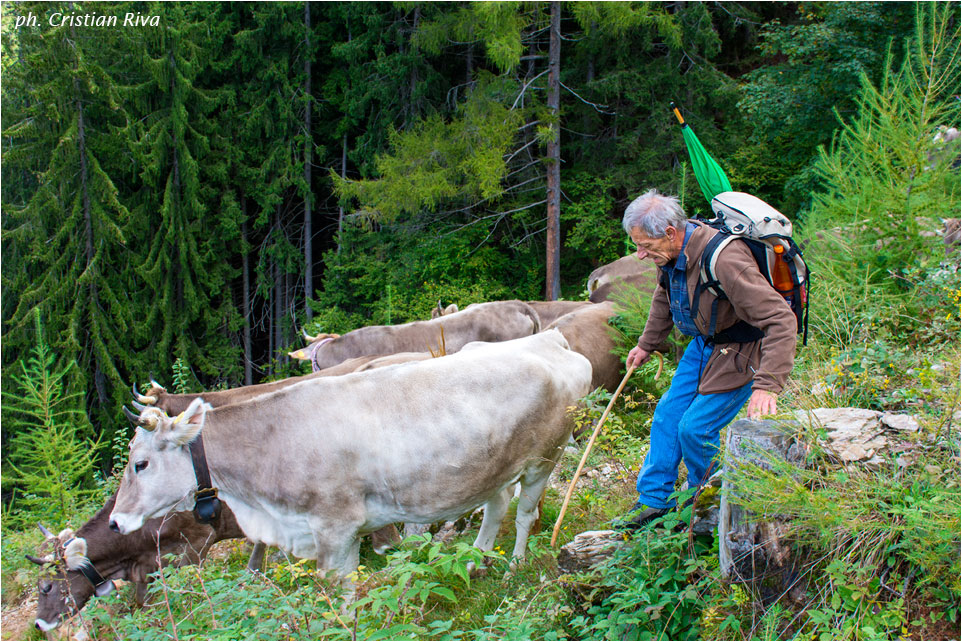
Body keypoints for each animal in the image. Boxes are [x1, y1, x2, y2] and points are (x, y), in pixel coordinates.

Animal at [27, 492, 244, 628]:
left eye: (46, 587)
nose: (38, 624)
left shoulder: (197, 544)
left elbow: (191, 592)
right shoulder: (147, 568)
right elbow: (142, 604)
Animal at [109, 330, 588, 596]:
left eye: (140, 464)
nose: (115, 521)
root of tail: (549, 339)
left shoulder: (335, 530)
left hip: (544, 458)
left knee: (524, 514)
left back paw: (514, 567)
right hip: (494, 469)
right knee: (496, 507)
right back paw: (475, 561)